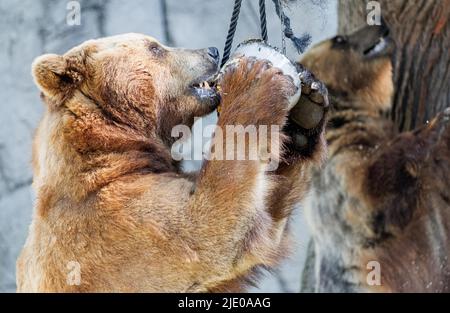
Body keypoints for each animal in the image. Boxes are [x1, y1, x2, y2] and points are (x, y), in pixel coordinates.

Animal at [17, 33, 328, 292]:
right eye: (155, 47)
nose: (212, 51)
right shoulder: (113, 224)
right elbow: (211, 228)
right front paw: (254, 77)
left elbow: (266, 209)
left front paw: (307, 108)